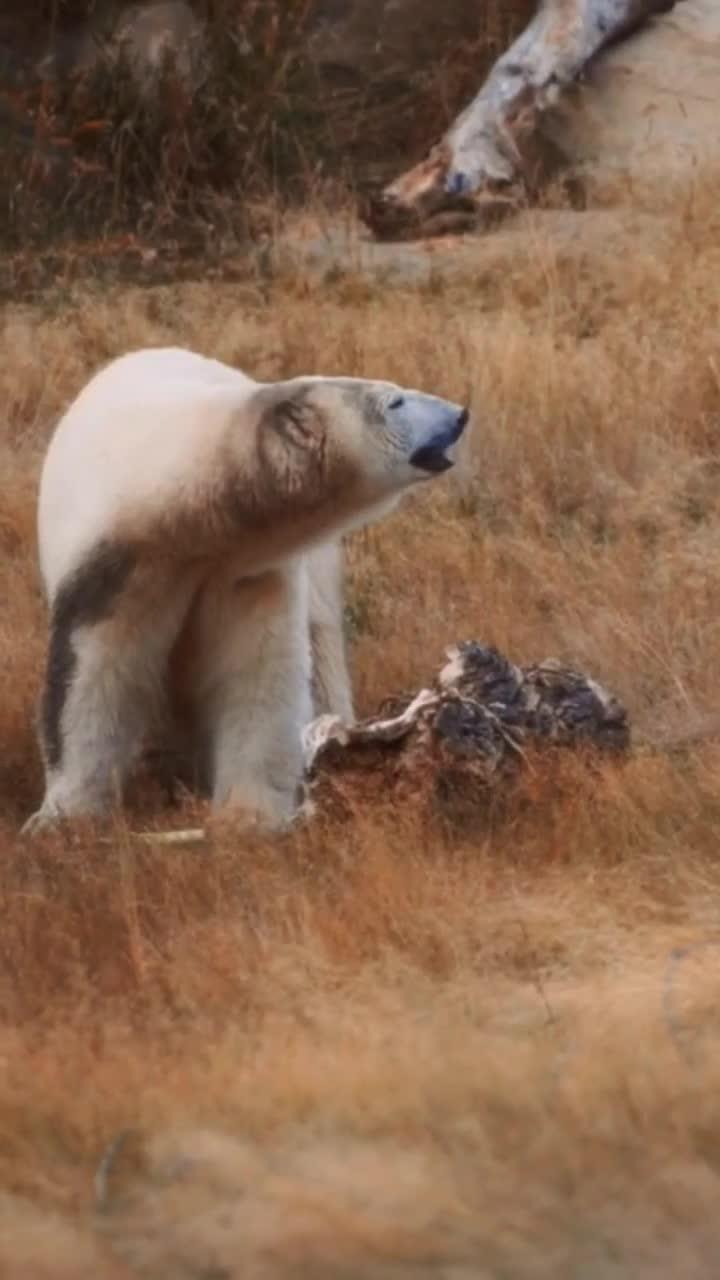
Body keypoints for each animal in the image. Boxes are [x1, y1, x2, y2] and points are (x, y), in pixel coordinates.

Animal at [22, 345, 469, 835]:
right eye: (395, 402)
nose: (460, 415)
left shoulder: (244, 571)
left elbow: (255, 674)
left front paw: (250, 817)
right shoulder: (121, 562)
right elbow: (93, 675)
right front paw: (63, 818)